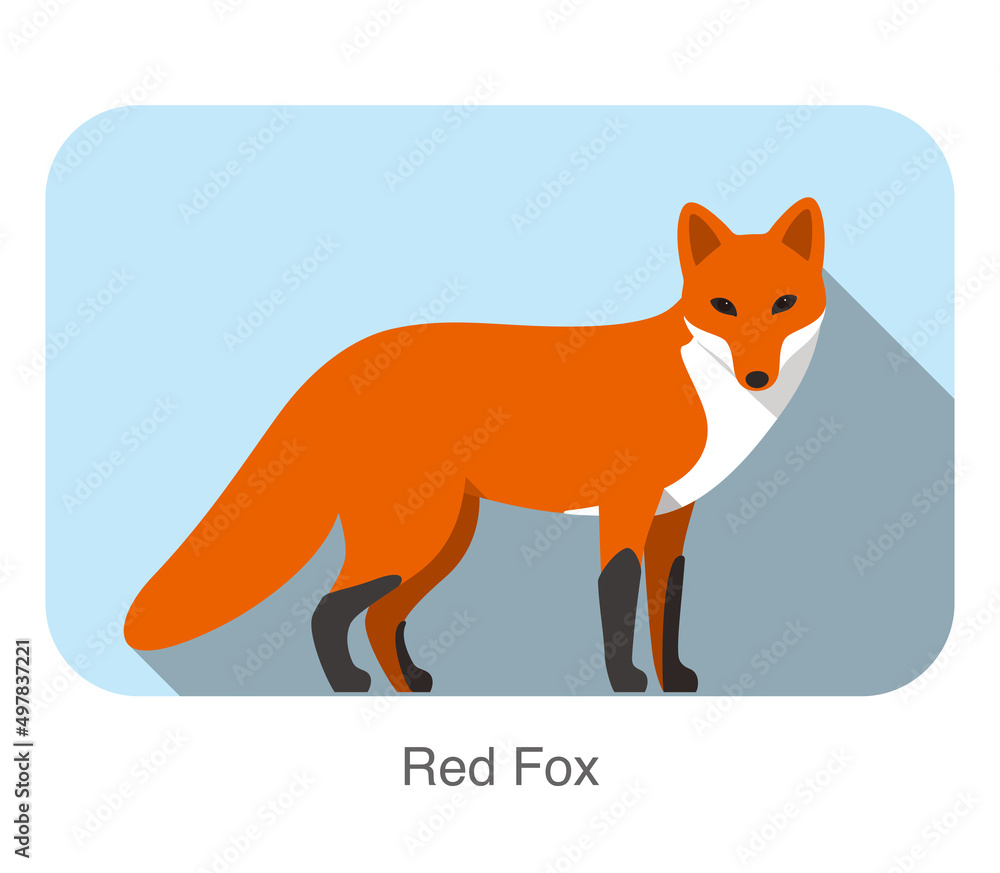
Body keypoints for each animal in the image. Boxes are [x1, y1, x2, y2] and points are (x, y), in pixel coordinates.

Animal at [125, 197, 826, 694]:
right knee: (329, 611)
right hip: (414, 540)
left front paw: (674, 681)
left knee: (379, 618)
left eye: (784, 303)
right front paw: (627, 684)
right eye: (723, 306)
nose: (757, 377)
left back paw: (410, 685)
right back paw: (350, 687)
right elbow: (619, 602)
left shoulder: (674, 518)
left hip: (444, 539)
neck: (702, 388)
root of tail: (344, 360)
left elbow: (667, 608)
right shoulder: (624, 509)